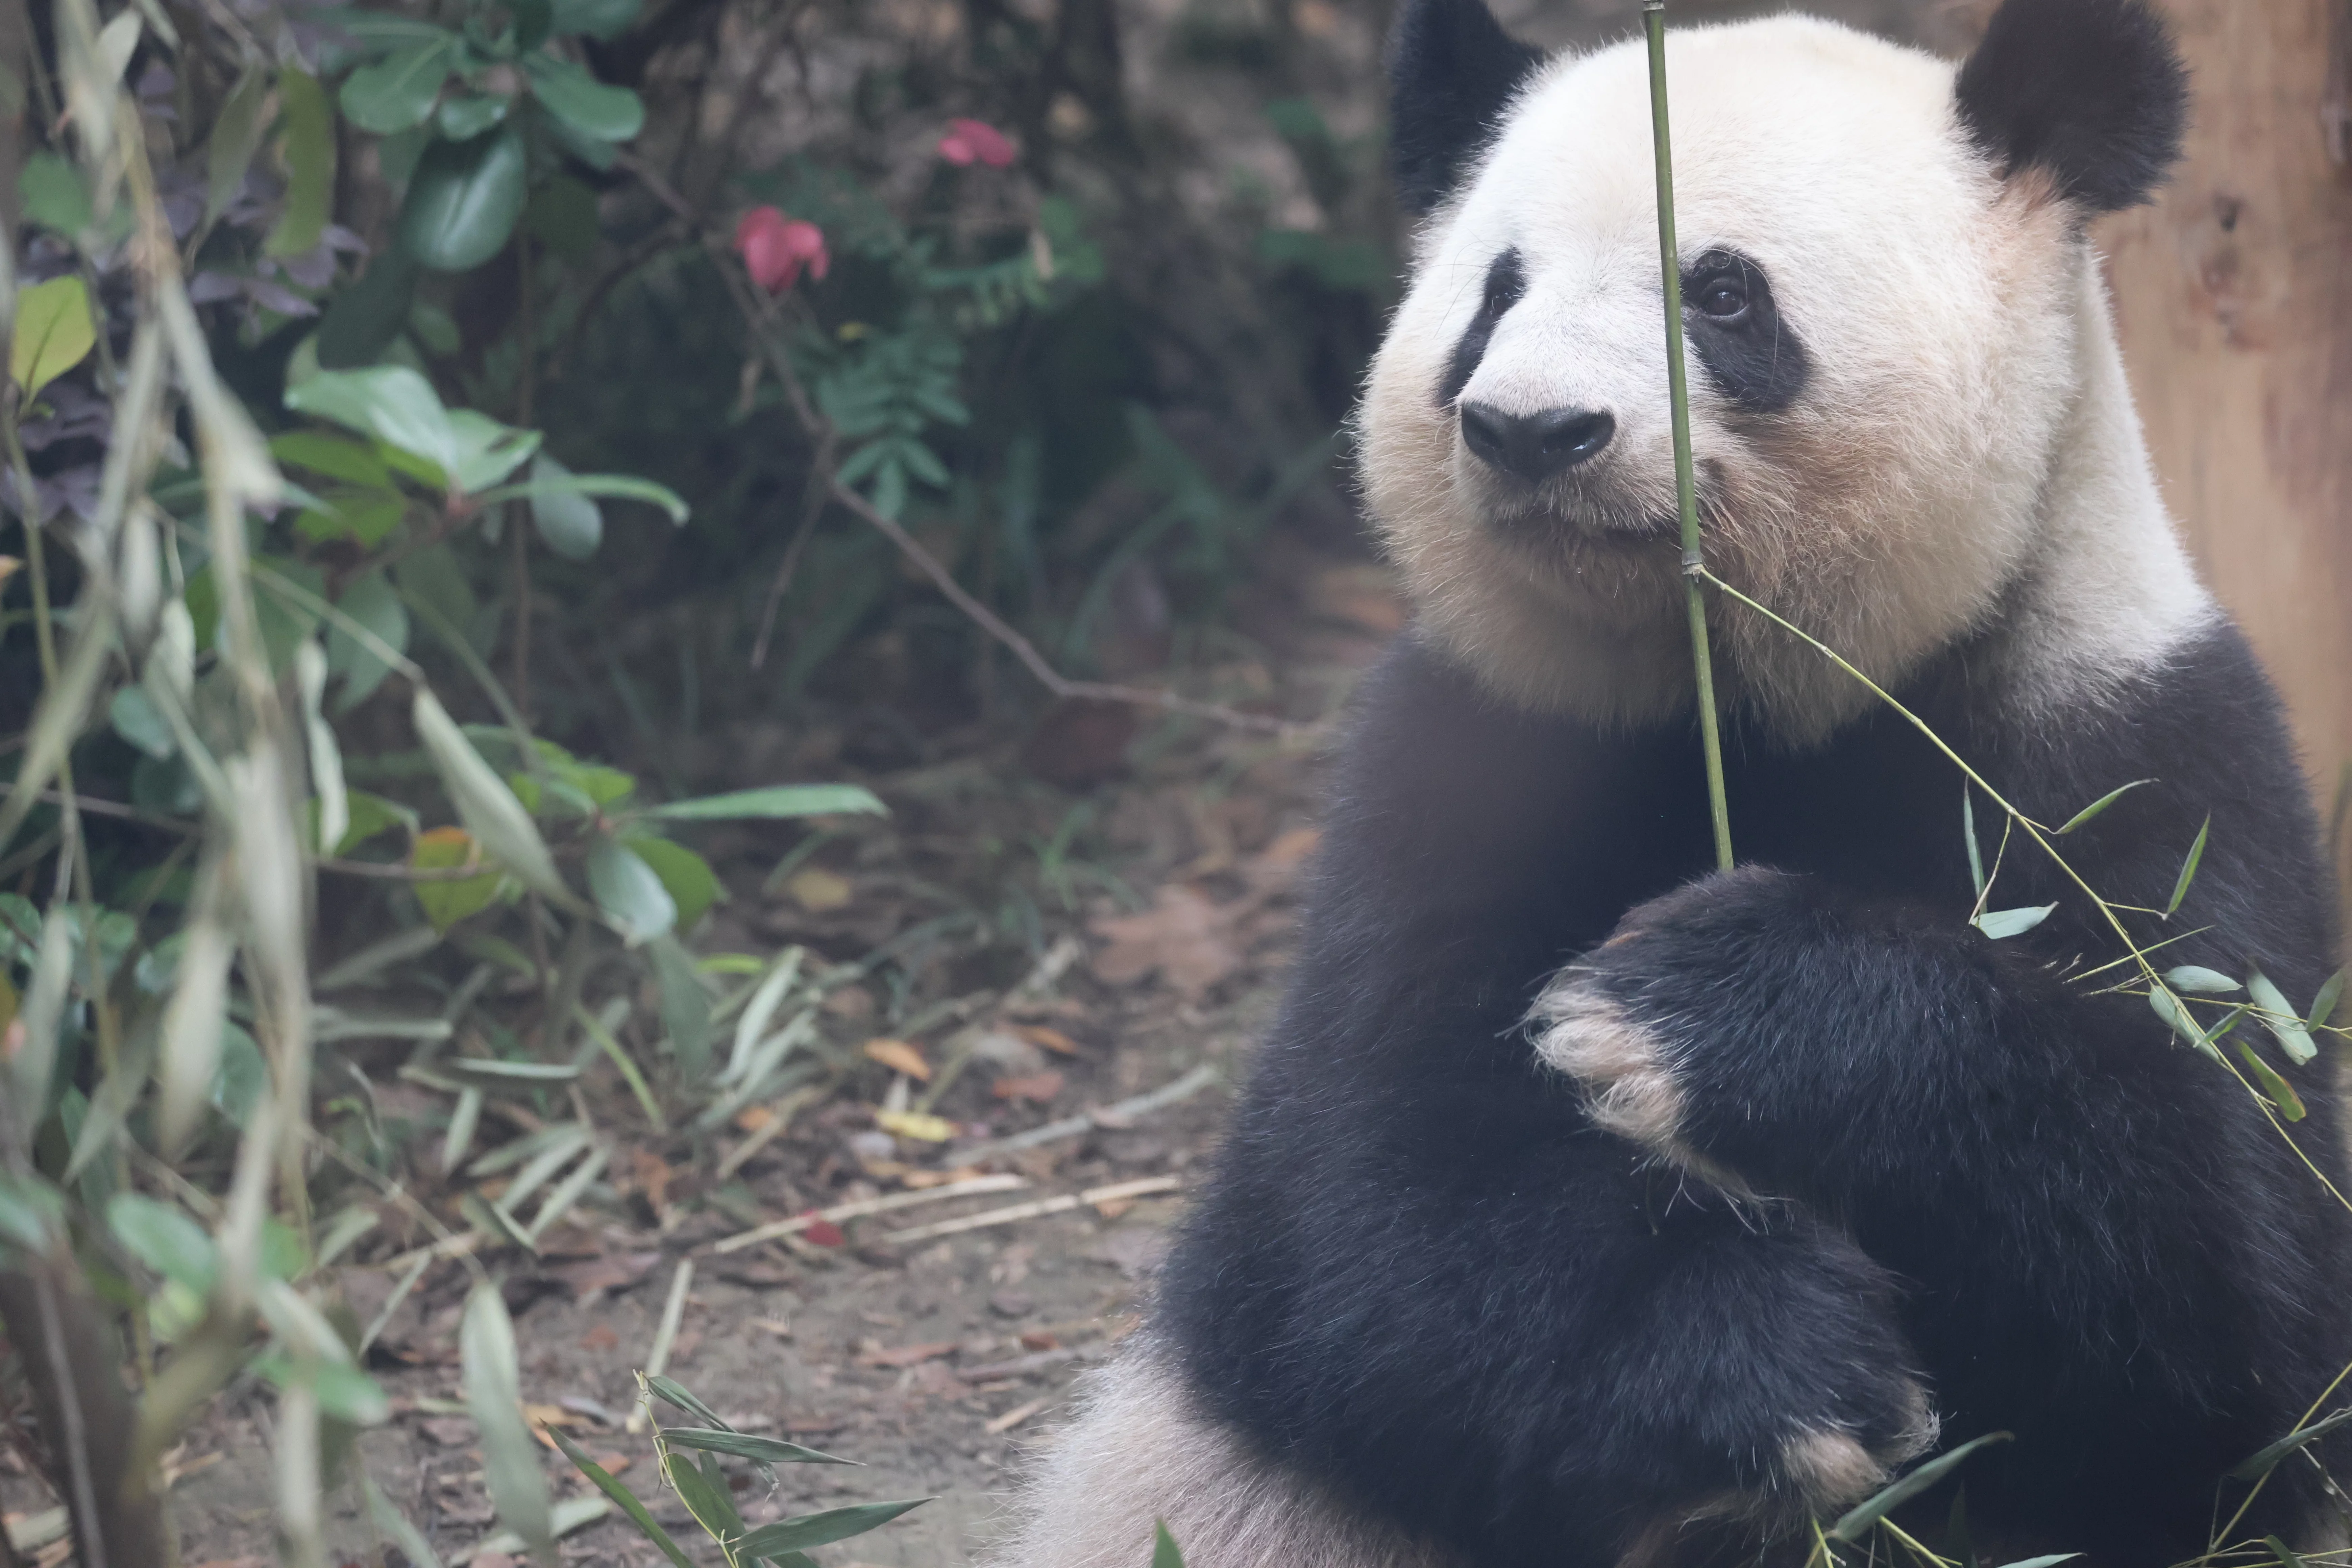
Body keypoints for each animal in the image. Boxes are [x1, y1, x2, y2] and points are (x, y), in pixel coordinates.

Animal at [992, 1, 2352, 1564]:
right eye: (1494, 293)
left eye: (1721, 292)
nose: (1531, 429)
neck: (1741, 689)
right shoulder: (1470, 756)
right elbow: (1355, 1223)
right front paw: (1783, 1364)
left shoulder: (2128, 752)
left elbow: (2241, 1320)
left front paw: (1702, 1007)